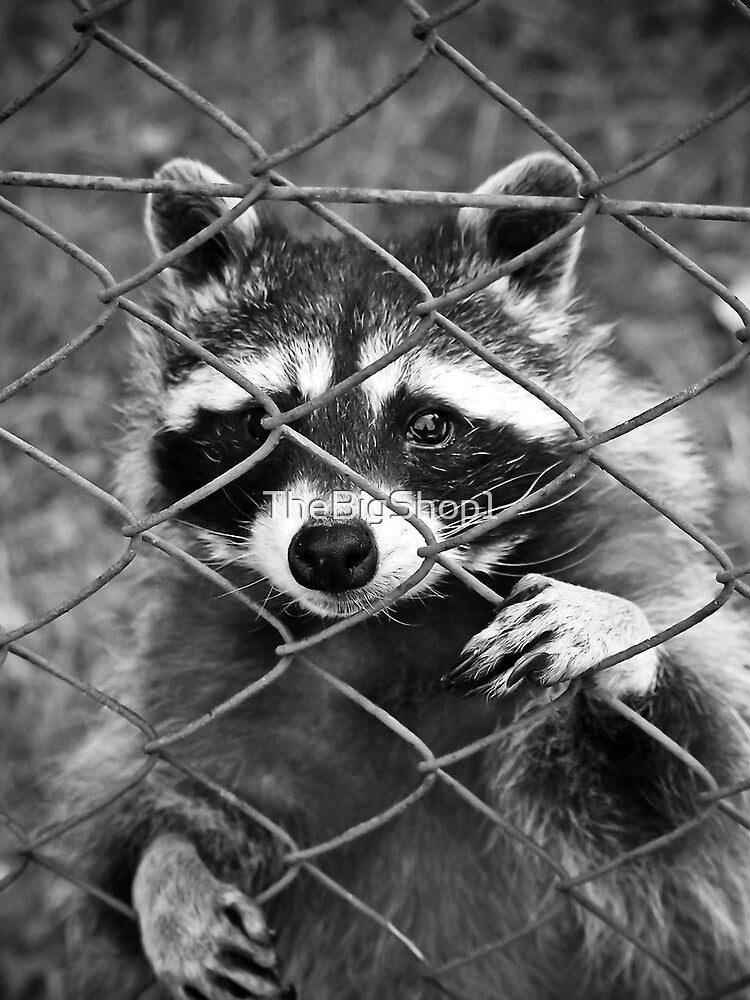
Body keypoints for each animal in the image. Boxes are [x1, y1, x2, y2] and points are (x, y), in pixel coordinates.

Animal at [57, 153, 750, 1000]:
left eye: (429, 424)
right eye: (261, 424)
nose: (330, 551)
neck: (390, 629)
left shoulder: (628, 545)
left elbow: (686, 821)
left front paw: (619, 636)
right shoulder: (193, 661)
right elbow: (144, 811)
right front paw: (165, 870)